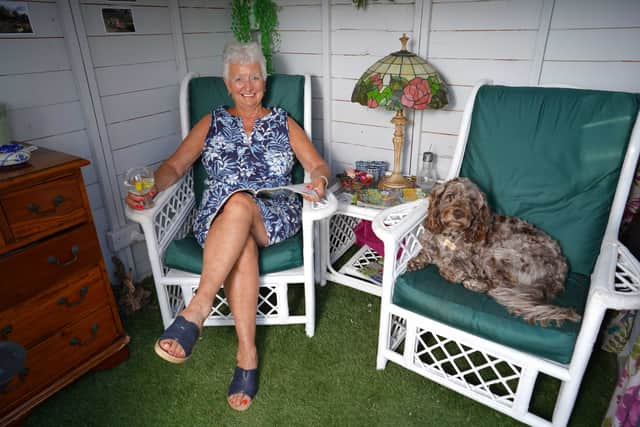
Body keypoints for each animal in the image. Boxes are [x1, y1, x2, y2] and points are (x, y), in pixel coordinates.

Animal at [408, 178, 584, 328]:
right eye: (450, 196)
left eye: (472, 201)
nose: (458, 213)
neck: (450, 235)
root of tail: (559, 272)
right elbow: (426, 252)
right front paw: (415, 261)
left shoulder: (473, 264)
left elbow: (451, 268)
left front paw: (449, 269)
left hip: (499, 254)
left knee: (499, 285)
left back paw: (475, 283)